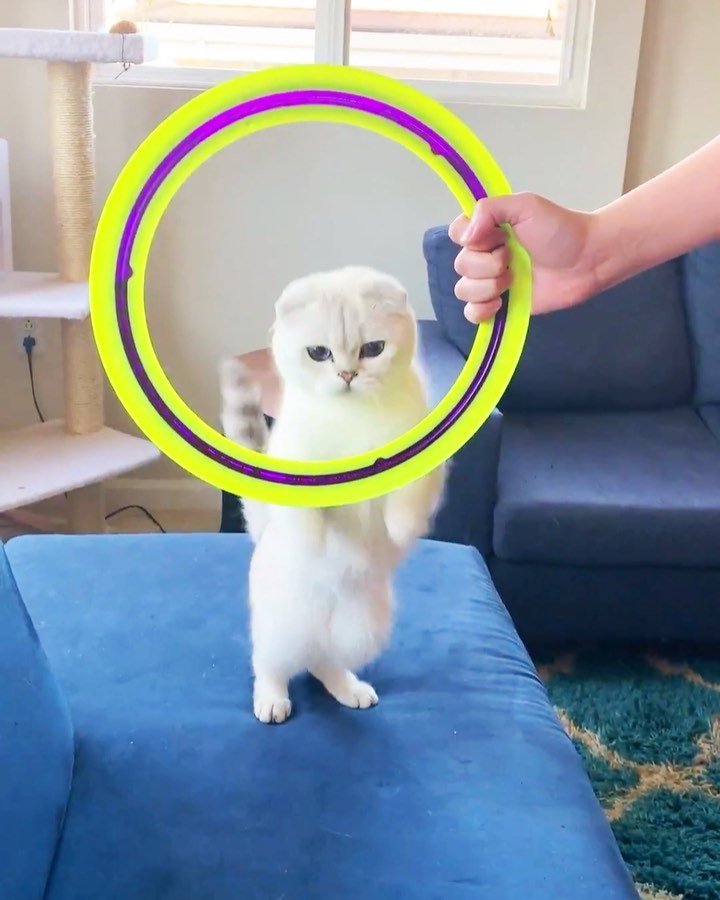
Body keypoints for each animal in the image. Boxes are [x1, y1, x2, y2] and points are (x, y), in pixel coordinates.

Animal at [219, 266, 445, 724]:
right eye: (318, 353)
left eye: (373, 349)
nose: (347, 375)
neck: (351, 418)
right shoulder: (297, 456)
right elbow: (305, 512)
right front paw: (311, 541)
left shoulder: (419, 457)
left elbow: (407, 498)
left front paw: (402, 528)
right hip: (282, 627)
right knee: (270, 662)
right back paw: (272, 701)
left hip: (363, 630)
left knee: (322, 660)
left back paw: (351, 690)